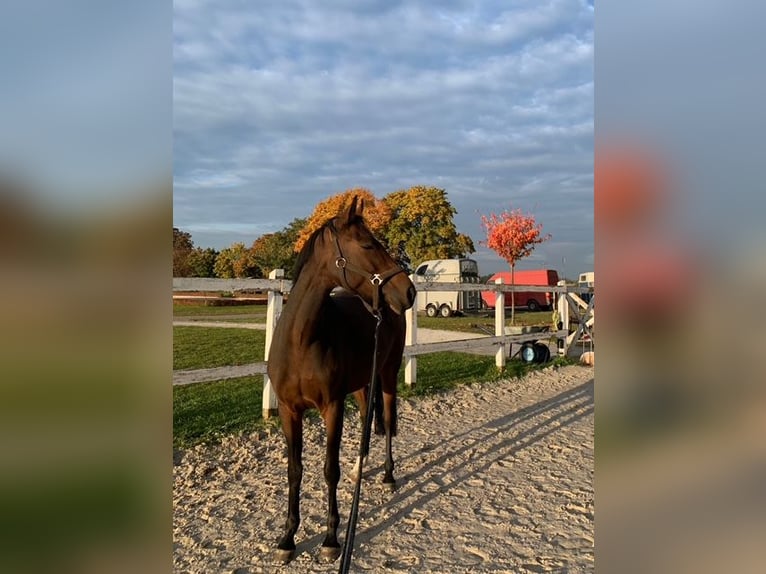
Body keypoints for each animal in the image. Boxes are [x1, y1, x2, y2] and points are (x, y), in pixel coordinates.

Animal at [266, 196, 416, 563]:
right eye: (368, 244)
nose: (409, 291)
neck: (301, 340)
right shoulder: (290, 412)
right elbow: (295, 470)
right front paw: (287, 538)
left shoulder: (332, 408)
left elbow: (328, 469)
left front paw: (332, 539)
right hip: (363, 383)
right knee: (365, 419)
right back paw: (360, 469)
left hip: (387, 374)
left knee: (387, 418)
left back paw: (388, 476)